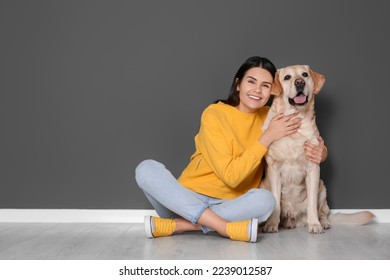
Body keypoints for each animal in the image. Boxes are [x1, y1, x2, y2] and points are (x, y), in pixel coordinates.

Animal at [260, 64, 374, 233]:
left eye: (304, 75)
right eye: (287, 77)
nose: (299, 83)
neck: (296, 122)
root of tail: (292, 218)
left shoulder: (313, 169)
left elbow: (312, 204)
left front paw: (314, 224)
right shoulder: (274, 170)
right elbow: (275, 201)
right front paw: (271, 224)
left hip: (322, 188)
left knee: (323, 212)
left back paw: (323, 223)